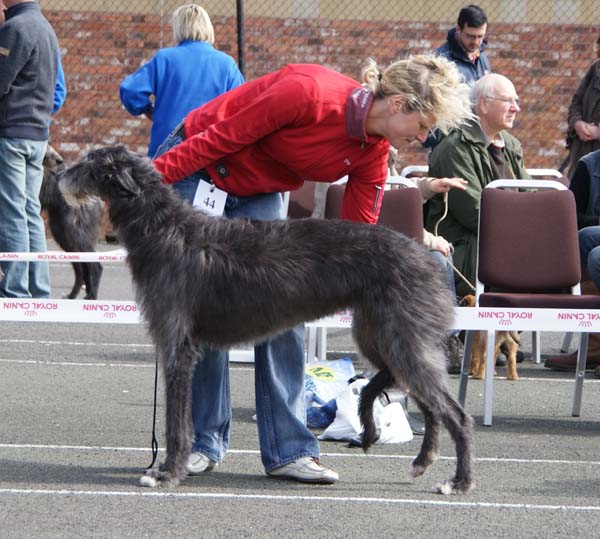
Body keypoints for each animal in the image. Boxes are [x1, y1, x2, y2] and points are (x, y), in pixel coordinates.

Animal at [40, 146, 103, 300]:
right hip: (62, 233)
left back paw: (92, 296)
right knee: (81, 268)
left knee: (95, 266)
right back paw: (73, 295)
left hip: (75, 231)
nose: (59, 160)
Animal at [58, 146, 476, 496]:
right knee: (430, 405)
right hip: (380, 337)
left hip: (401, 337)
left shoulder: (177, 346)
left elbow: (177, 423)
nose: (60, 172)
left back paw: (459, 481)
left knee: (454, 412)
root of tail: (427, 258)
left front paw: (166, 473)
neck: (164, 229)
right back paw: (422, 462)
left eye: (92, 163)